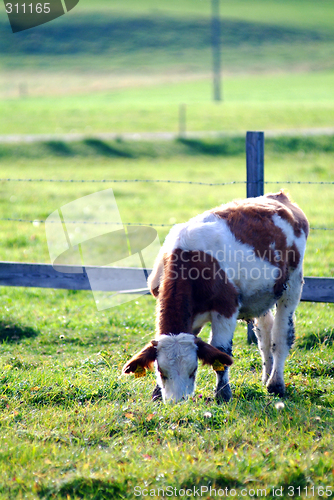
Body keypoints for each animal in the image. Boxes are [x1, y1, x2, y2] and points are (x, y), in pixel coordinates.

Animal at [122, 189, 308, 404]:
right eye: (161, 371)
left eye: (193, 370)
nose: (177, 402)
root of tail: (278, 196)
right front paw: (157, 393)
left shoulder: (226, 307)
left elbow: (222, 350)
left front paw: (223, 393)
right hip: (262, 295)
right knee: (264, 334)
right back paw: (266, 375)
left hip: (293, 283)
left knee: (281, 335)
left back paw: (276, 383)